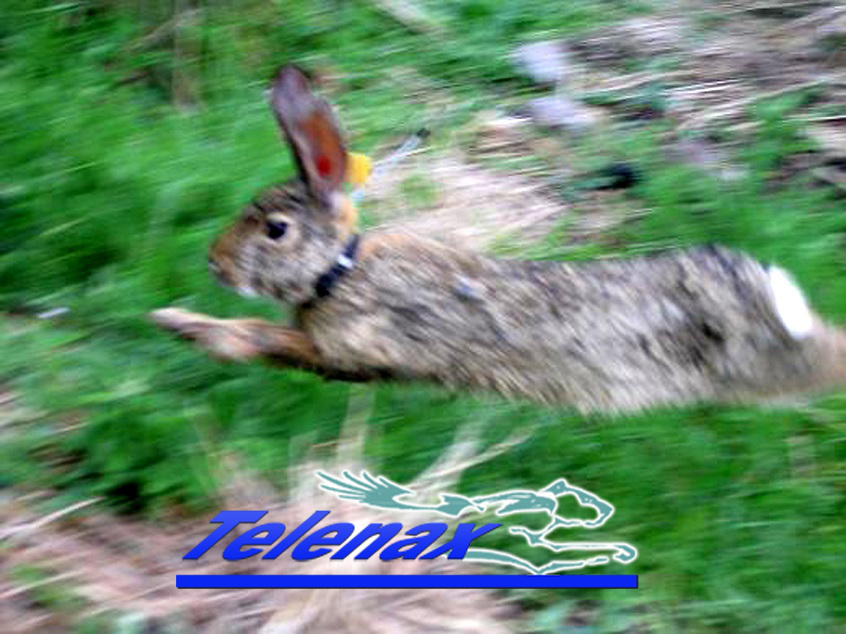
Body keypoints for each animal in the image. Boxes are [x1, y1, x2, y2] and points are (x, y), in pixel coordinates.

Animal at [152, 65, 846, 414]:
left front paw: (187, 327)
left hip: (766, 362)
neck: (341, 270)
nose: (213, 263)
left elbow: (266, 337)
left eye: (275, 230)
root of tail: (778, 307)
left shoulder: (353, 346)